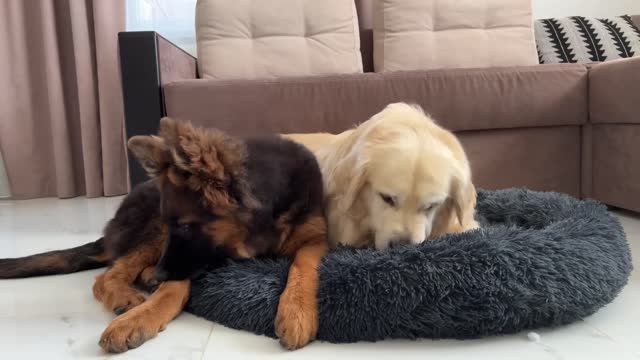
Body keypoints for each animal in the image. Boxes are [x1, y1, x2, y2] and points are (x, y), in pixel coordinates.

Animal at [0, 118, 330, 352]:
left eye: (184, 226)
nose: (158, 275)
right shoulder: (181, 253)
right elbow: (173, 286)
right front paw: (143, 315)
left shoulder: (316, 238)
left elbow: (302, 264)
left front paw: (297, 311)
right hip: (152, 229)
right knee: (106, 276)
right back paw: (129, 294)